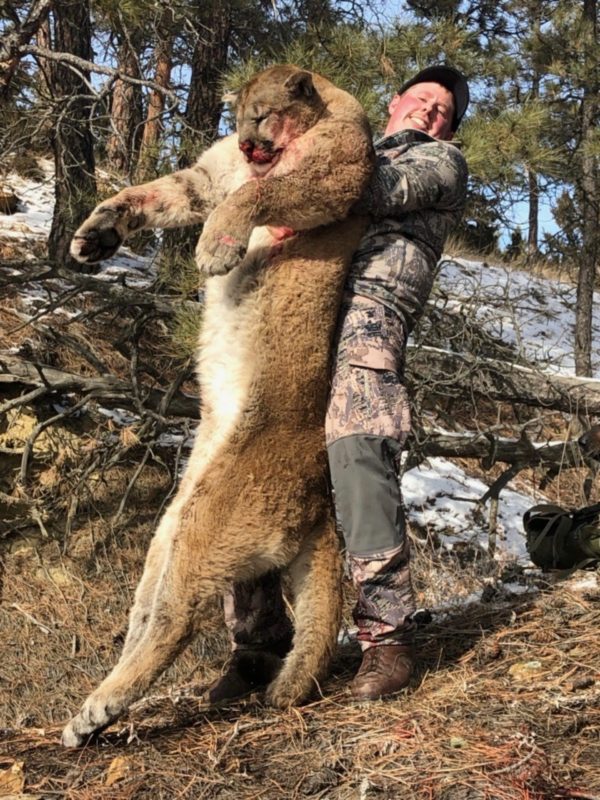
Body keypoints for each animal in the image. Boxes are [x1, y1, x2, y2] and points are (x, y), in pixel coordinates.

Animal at [61, 64, 374, 747]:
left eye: (263, 112)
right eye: (240, 116)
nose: (247, 138)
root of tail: (322, 502)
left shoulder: (335, 176)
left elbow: (258, 196)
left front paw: (216, 249)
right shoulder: (209, 176)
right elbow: (164, 191)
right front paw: (97, 233)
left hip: (212, 515)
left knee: (177, 619)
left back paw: (98, 708)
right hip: (174, 521)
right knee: (149, 607)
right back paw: (102, 702)